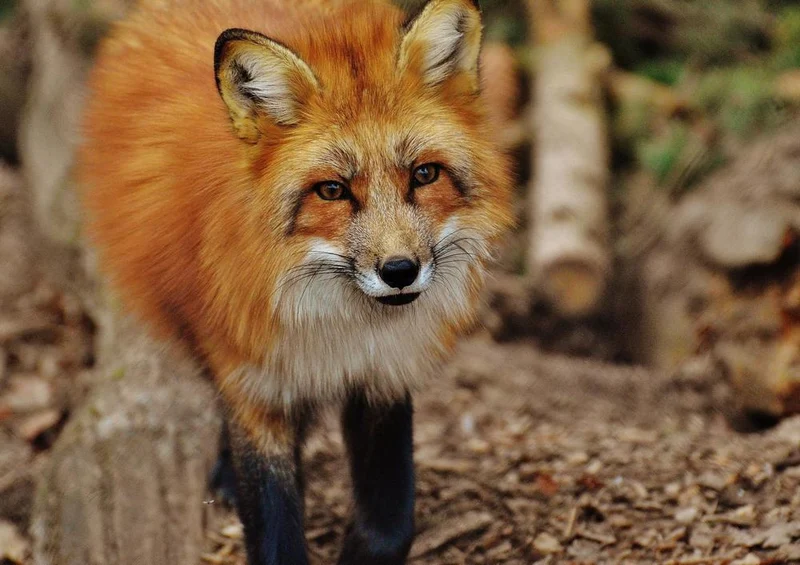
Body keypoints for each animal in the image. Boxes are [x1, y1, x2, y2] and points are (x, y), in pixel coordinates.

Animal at [77, 0, 513, 563]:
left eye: (423, 175)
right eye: (332, 191)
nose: (399, 271)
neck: (341, 327)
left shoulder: (385, 374)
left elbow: (389, 524)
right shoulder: (255, 382)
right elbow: (273, 524)